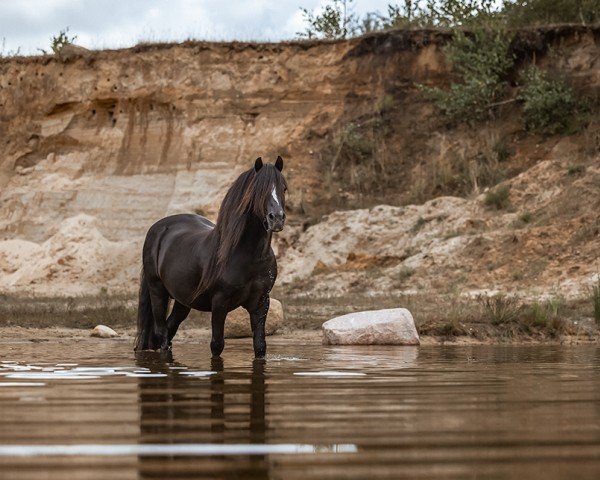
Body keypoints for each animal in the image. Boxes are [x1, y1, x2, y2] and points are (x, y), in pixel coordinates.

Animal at [136, 156, 286, 358]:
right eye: (258, 190)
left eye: (283, 188)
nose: (276, 218)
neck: (249, 256)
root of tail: (157, 228)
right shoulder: (219, 303)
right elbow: (217, 345)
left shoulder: (261, 302)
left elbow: (260, 346)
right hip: (157, 290)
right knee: (162, 333)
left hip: (183, 301)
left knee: (170, 328)